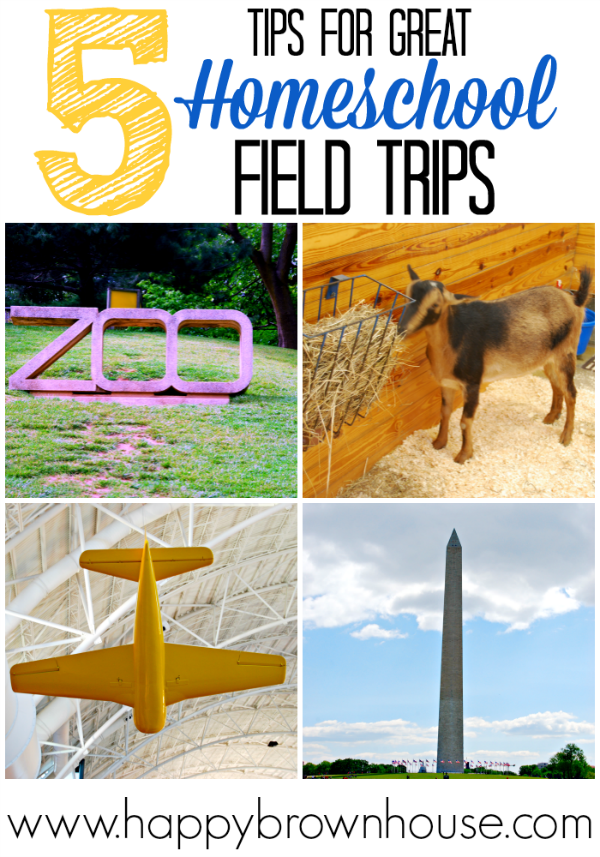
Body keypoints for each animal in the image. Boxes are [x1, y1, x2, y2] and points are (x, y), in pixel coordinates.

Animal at [398, 266, 592, 462]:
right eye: (406, 297)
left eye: (436, 305)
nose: (401, 330)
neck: (453, 338)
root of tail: (574, 300)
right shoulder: (446, 383)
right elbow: (444, 412)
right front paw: (438, 443)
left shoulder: (472, 383)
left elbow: (464, 421)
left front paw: (464, 455)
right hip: (549, 359)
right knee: (556, 386)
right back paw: (552, 417)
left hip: (565, 354)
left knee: (571, 393)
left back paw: (566, 437)